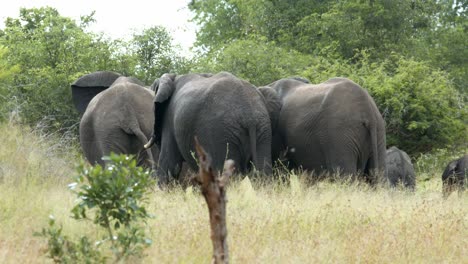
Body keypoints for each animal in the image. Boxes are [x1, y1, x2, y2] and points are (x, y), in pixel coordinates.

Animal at [144, 71, 280, 184]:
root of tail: (249, 116)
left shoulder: (169, 119)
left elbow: (170, 164)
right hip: (262, 129)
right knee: (263, 172)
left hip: (221, 133)